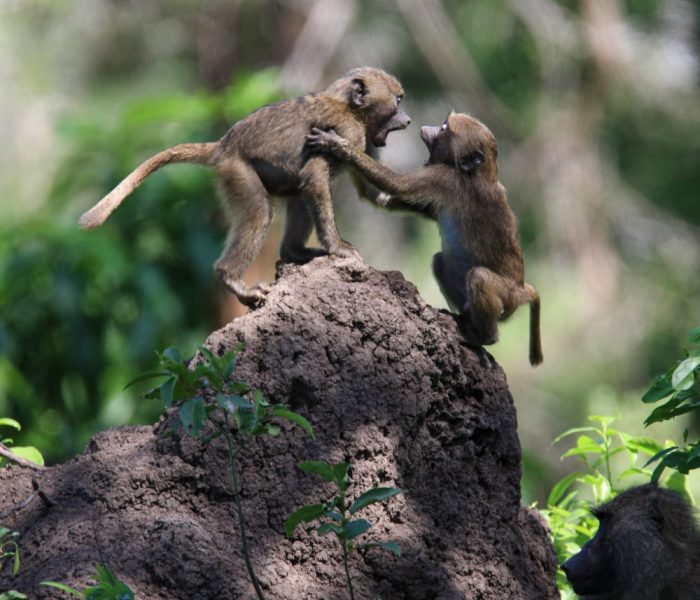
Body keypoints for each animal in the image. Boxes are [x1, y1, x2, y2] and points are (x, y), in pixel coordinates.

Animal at [78, 67, 410, 307]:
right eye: (398, 100)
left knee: (299, 198)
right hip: (237, 172)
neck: (350, 107)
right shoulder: (350, 132)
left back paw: (294, 252)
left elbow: (372, 192)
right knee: (262, 212)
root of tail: (223, 145)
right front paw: (338, 248)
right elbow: (315, 176)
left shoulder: (364, 141)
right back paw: (233, 279)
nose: (407, 121)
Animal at [306, 112, 543, 366]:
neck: (478, 173)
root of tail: (521, 290)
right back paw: (464, 318)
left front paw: (340, 147)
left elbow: (395, 184)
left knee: (479, 277)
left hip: (506, 297)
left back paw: (484, 337)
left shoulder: (443, 178)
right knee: (440, 261)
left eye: (445, 127)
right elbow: (385, 199)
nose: (429, 127)